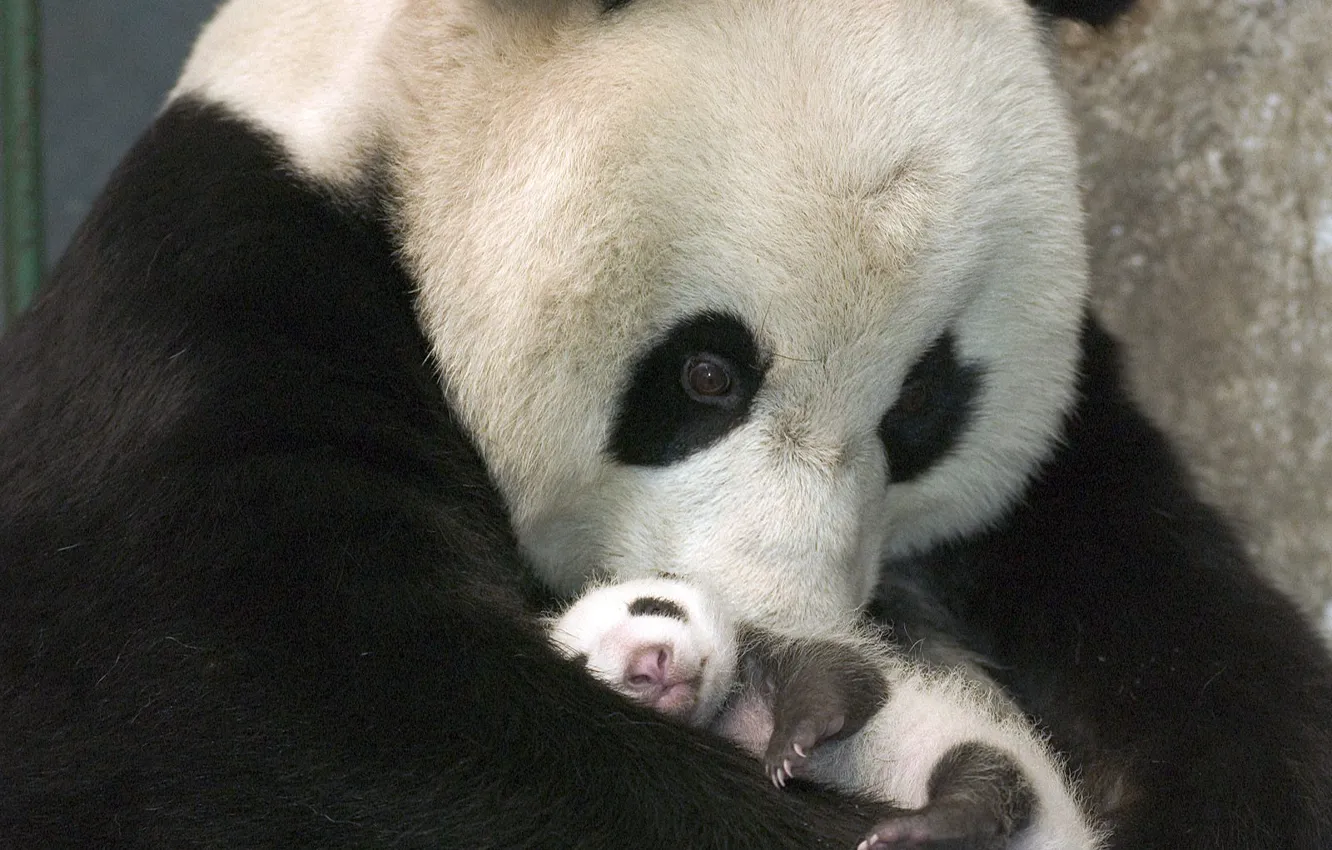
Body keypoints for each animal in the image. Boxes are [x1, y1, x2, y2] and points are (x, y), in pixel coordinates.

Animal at [1, 0, 1330, 847]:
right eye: (706, 375)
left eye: (922, 402)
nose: (782, 623)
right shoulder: (214, 321)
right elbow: (279, 717)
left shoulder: (1073, 470)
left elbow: (1195, 642)